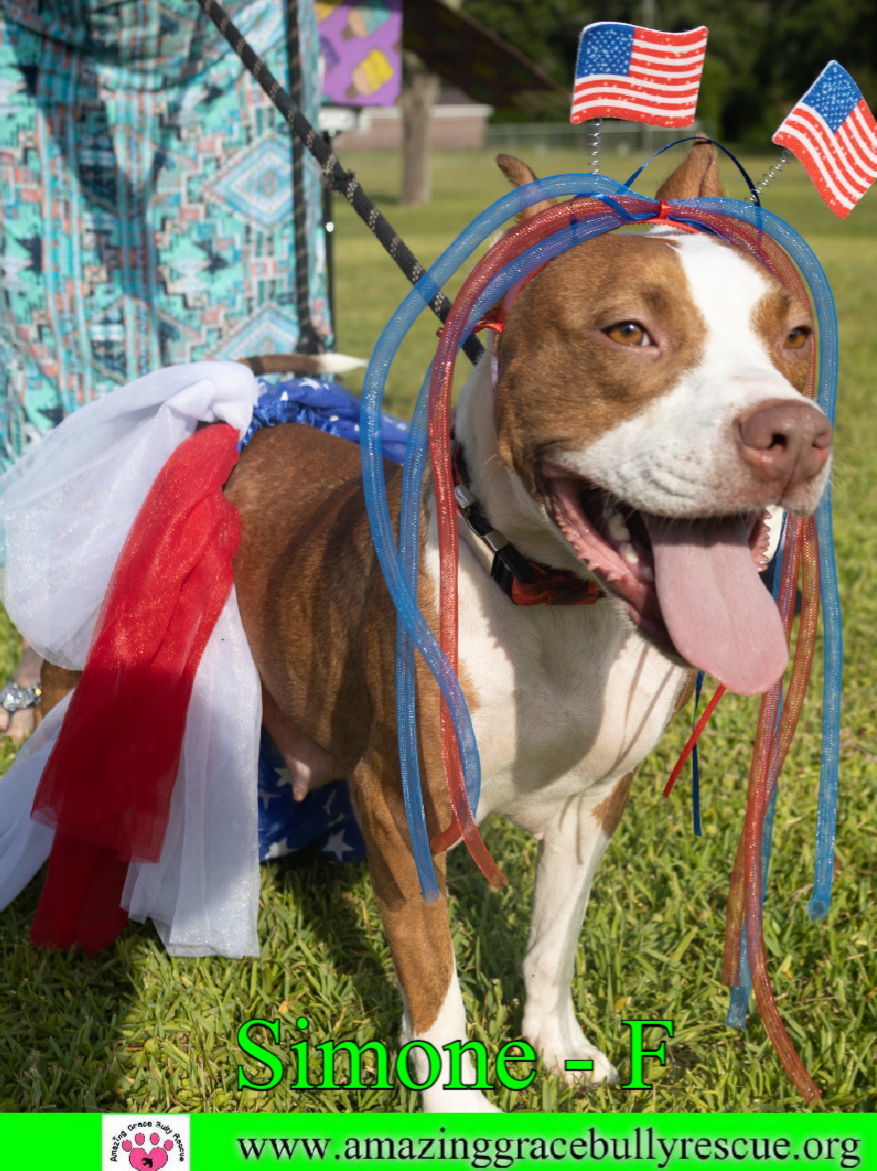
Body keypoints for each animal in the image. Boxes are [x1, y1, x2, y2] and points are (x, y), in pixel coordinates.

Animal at [222, 141, 833, 1110]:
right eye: (627, 331)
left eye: (795, 336)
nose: (797, 435)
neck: (551, 599)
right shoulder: (400, 802)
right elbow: (434, 971)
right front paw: (456, 1105)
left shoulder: (594, 804)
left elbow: (552, 941)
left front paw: (558, 1048)